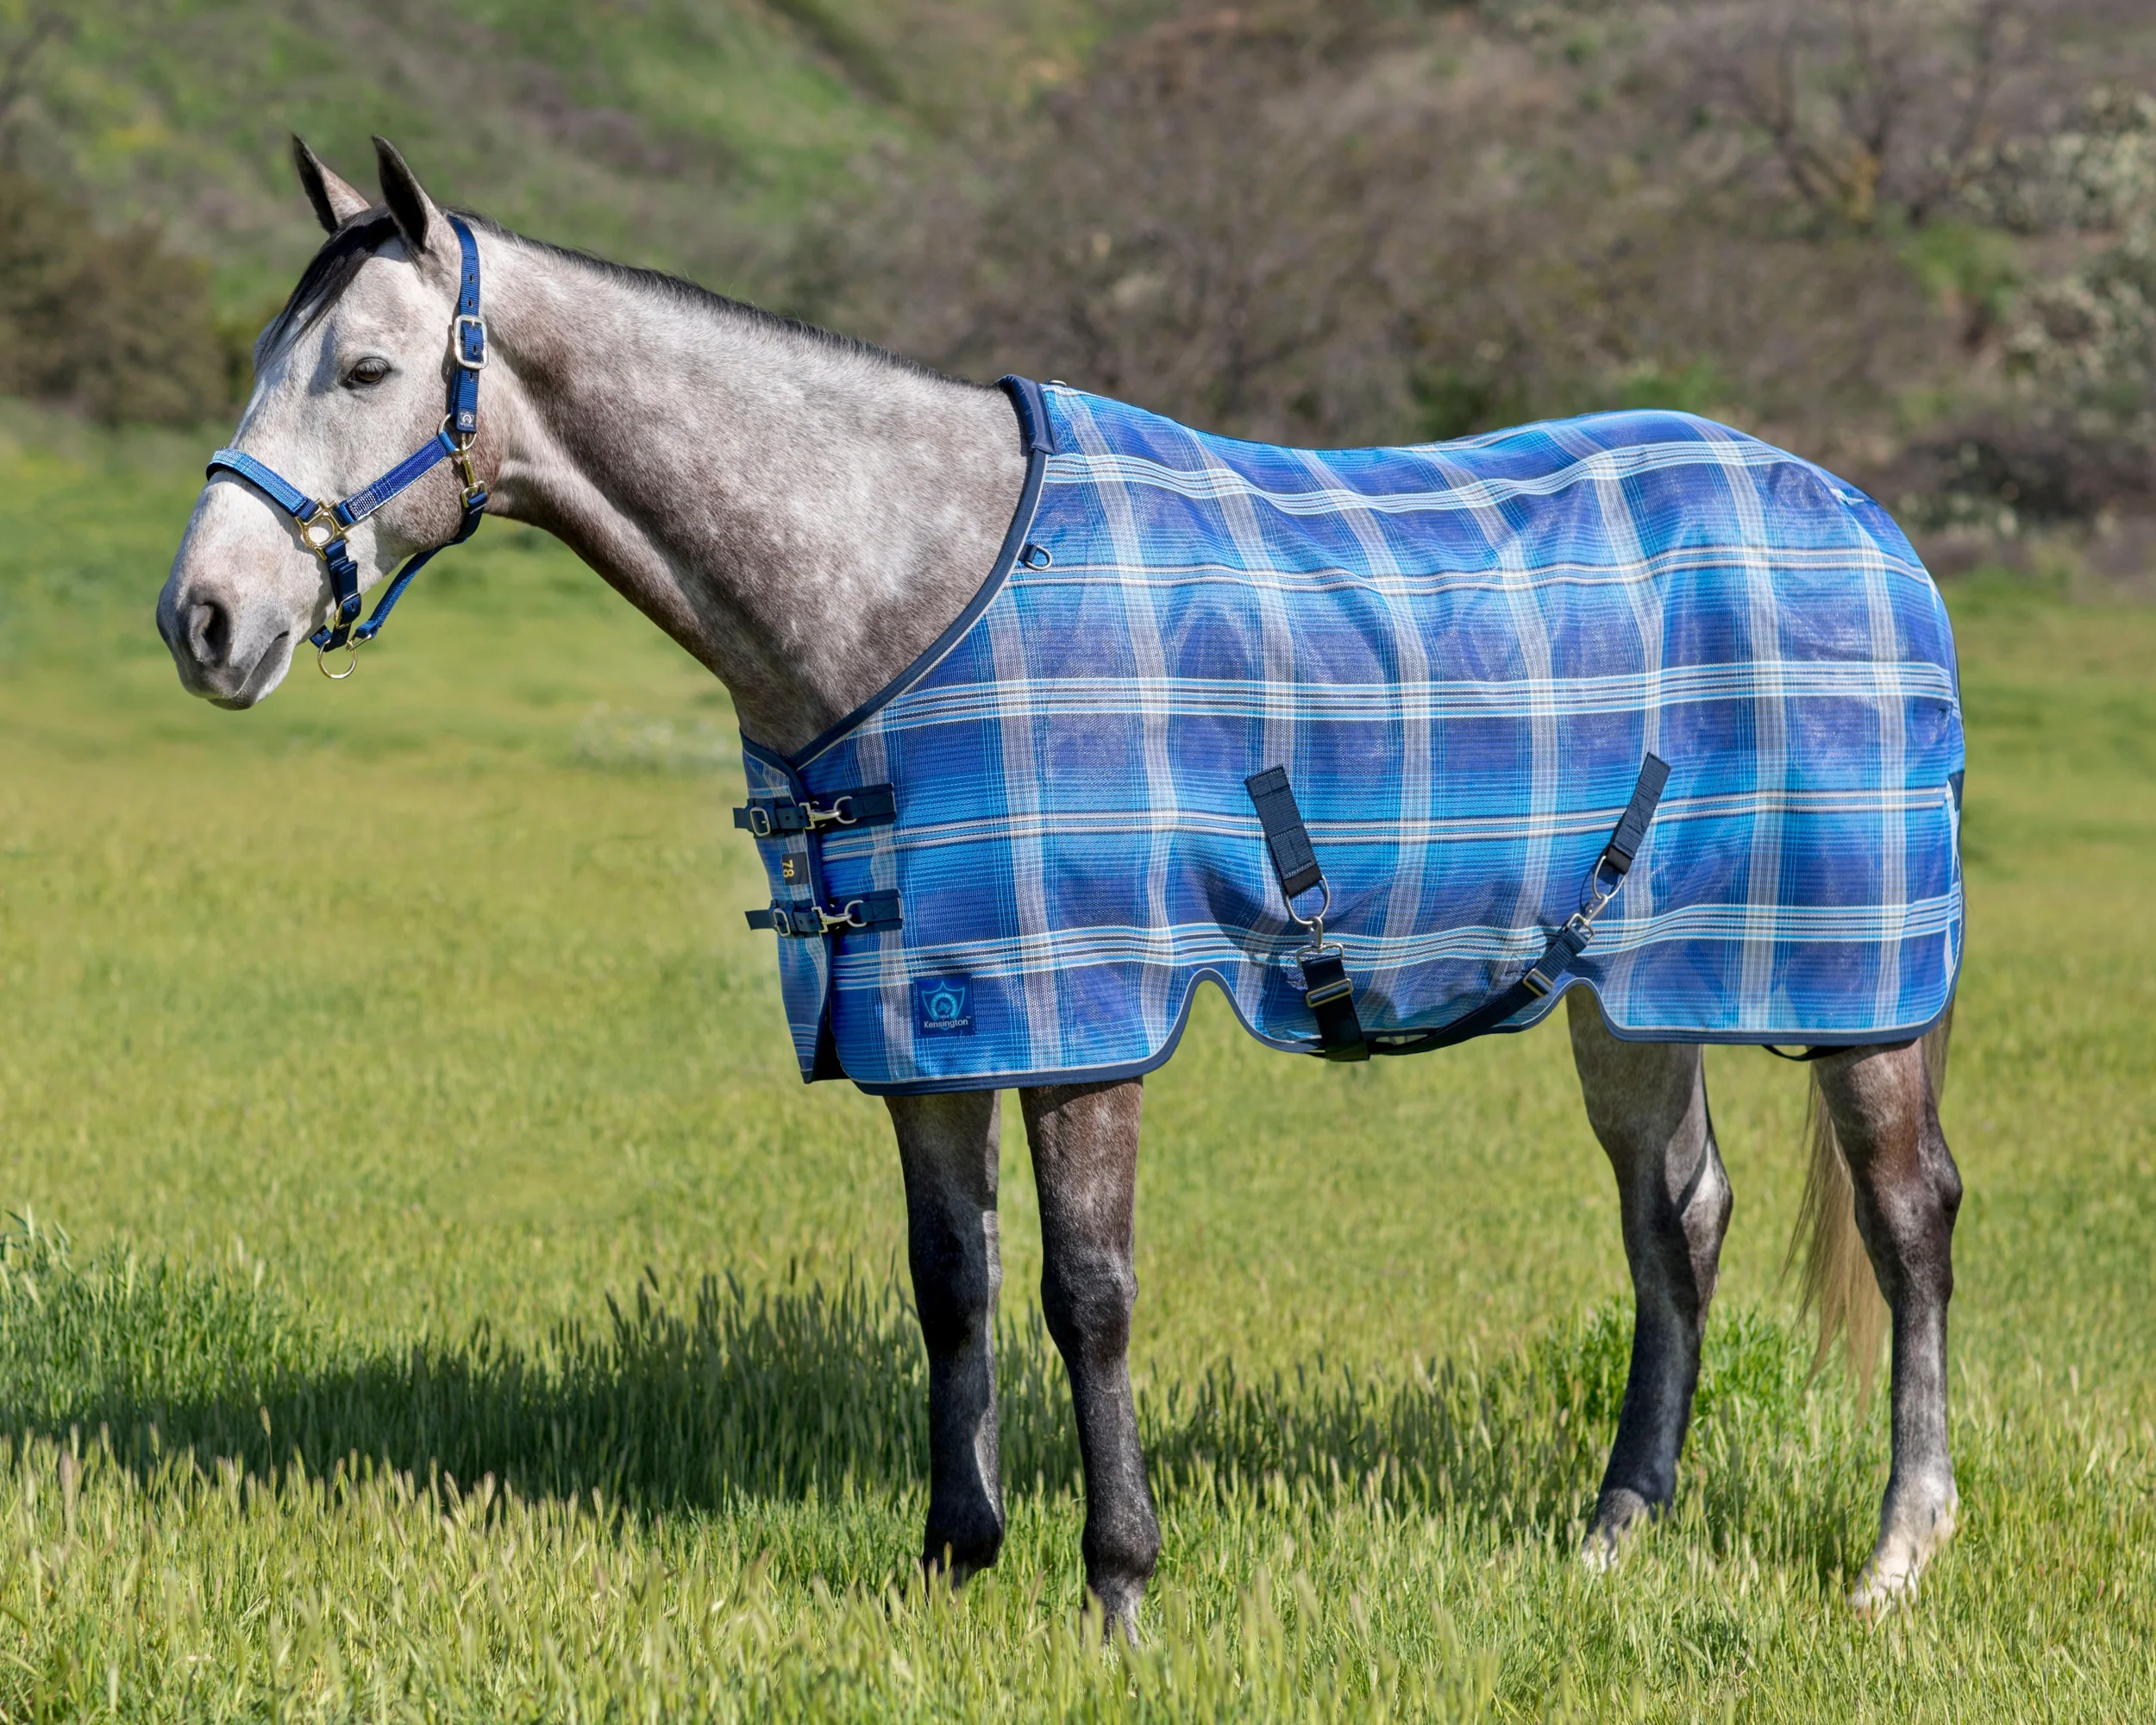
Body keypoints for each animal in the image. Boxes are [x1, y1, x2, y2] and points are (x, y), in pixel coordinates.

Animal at [157, 138, 1965, 1635]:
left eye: (368, 367)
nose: (204, 621)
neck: (909, 587)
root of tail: (1864, 522)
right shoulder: (925, 1018)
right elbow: (950, 1288)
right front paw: (954, 1562)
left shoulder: (1079, 1017)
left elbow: (1083, 1294)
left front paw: (1117, 1587)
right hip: (1626, 983)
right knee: (1678, 1219)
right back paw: (1613, 1534)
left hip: (1857, 988)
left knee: (1909, 1222)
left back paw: (1895, 1556)